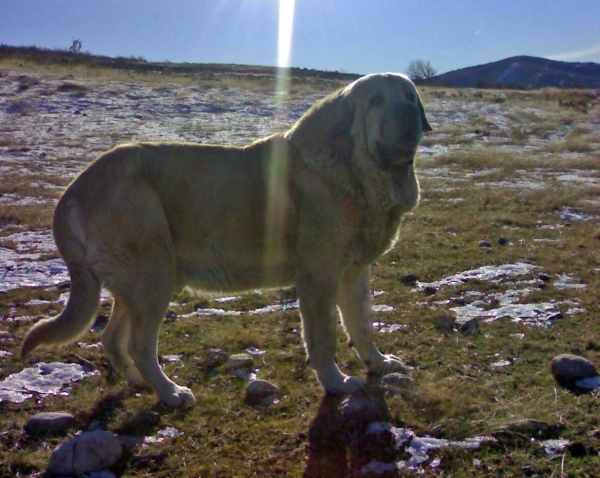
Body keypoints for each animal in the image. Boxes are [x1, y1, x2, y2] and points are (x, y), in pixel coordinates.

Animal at [19, 73, 432, 408]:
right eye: (375, 101)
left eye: (409, 96)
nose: (407, 115)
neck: (360, 172)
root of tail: (76, 188)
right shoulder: (319, 276)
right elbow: (323, 336)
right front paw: (336, 383)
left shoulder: (354, 272)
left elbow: (362, 324)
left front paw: (378, 364)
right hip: (153, 276)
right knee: (139, 345)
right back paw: (170, 393)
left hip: (138, 282)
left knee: (112, 338)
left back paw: (139, 383)